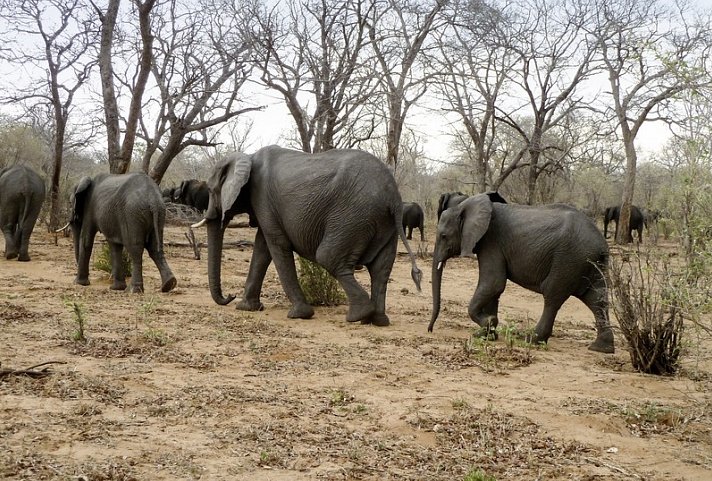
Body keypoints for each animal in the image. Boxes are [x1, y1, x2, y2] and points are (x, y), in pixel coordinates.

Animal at [191, 145, 422, 326]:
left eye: (211, 191)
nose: (229, 296)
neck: (247, 156)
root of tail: (393, 196)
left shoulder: (262, 198)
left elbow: (276, 246)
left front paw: (299, 314)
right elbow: (262, 248)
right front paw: (247, 308)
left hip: (353, 216)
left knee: (328, 257)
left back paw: (358, 316)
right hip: (384, 223)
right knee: (381, 269)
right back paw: (376, 320)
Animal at [428, 193, 612, 354]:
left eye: (443, 236)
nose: (430, 330)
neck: (465, 204)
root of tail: (602, 245)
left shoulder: (491, 242)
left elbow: (493, 283)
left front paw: (488, 324)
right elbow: (494, 290)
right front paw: (487, 335)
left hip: (568, 259)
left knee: (552, 296)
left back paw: (530, 340)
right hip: (590, 265)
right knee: (597, 299)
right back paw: (601, 348)